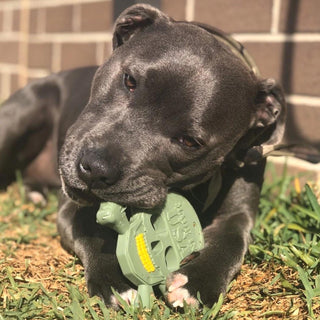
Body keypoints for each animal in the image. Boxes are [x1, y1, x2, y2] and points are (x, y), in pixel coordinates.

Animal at [0, 3, 286, 306]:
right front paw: (116, 279)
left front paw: (197, 283)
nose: (96, 168)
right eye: (129, 80)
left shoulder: (239, 212)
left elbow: (232, 240)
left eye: (190, 141)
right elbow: (89, 228)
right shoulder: (72, 205)